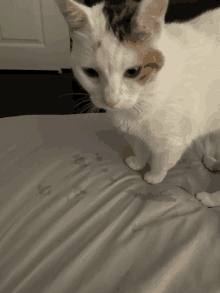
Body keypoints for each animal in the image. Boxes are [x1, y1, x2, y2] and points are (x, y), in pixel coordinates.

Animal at [55, 0, 220, 194]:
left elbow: (160, 163)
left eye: (133, 72)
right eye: (90, 72)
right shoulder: (135, 135)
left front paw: (154, 178)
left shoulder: (172, 145)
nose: (110, 100)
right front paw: (137, 162)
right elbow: (140, 148)